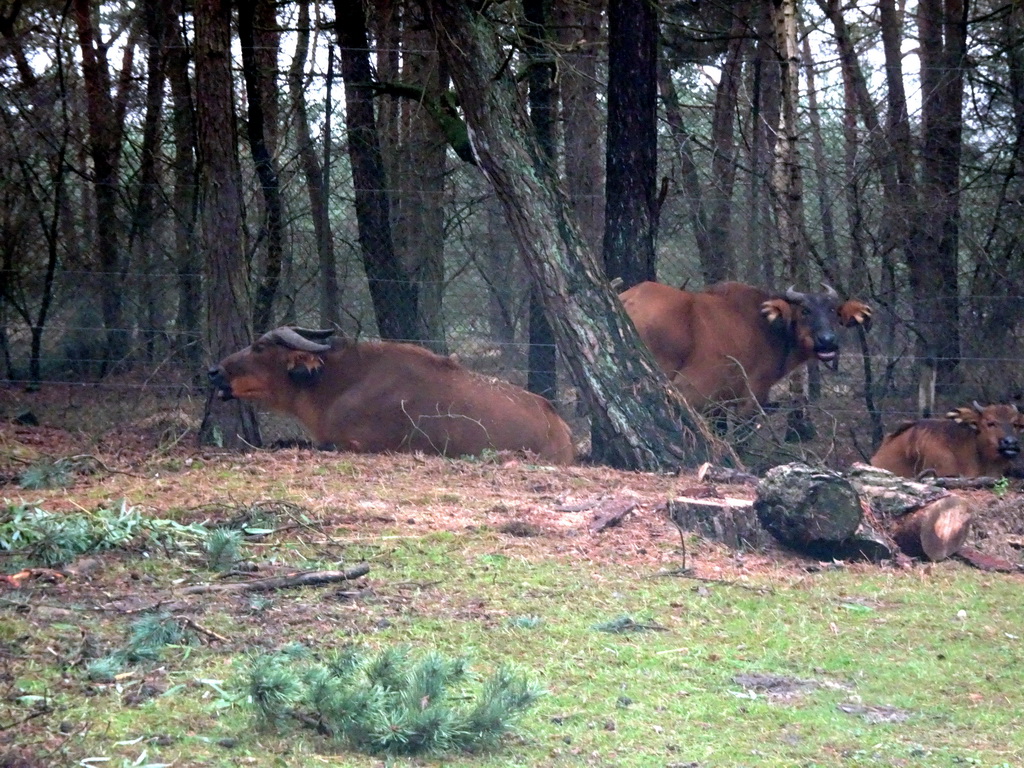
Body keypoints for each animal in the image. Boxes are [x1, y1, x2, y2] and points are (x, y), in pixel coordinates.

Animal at [614, 280, 872, 417]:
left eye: (833, 311)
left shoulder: (719, 403)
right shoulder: (749, 400)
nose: (827, 340)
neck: (768, 328)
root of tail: (629, 298)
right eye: (805, 311)